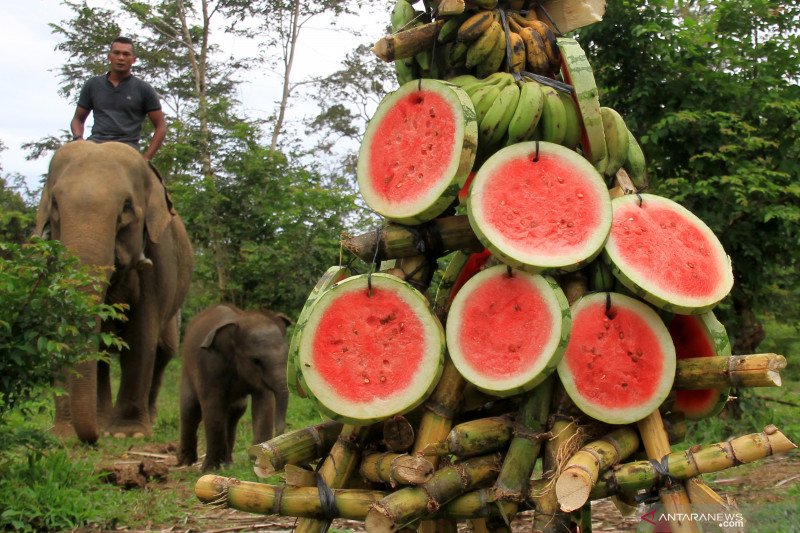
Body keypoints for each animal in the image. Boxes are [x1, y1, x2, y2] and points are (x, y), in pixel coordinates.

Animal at [34, 140, 194, 440]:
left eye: (127, 208)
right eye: (56, 206)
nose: (92, 438)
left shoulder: (159, 259)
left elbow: (141, 335)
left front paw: (127, 435)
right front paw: (64, 433)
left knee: (164, 351)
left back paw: (145, 421)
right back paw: (103, 420)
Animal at [178, 304, 294, 470]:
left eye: (286, 354)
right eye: (256, 360)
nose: (280, 435)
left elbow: (264, 404)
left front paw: (258, 461)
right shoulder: (209, 366)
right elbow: (212, 407)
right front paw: (210, 469)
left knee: (235, 412)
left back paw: (228, 464)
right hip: (187, 369)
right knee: (190, 409)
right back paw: (186, 462)